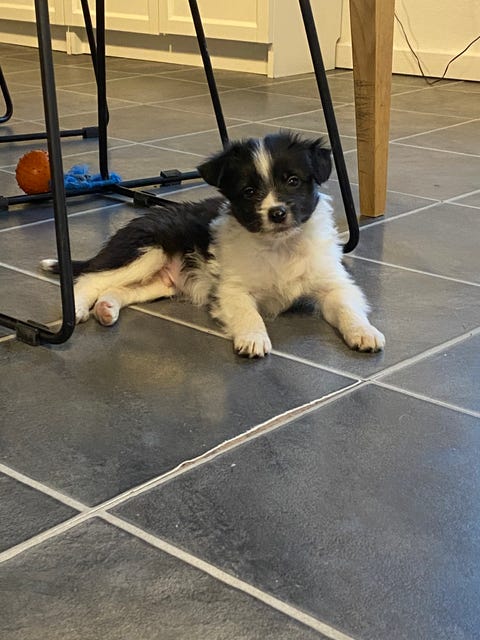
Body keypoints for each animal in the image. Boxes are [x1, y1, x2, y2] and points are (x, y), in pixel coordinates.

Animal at [41, 132, 385, 358]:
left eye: (293, 181)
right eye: (249, 191)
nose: (276, 213)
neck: (279, 246)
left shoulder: (334, 284)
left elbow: (348, 308)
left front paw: (364, 333)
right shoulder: (231, 288)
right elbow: (248, 312)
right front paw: (253, 339)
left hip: (160, 283)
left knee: (118, 289)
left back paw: (107, 308)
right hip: (146, 251)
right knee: (90, 279)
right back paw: (81, 308)